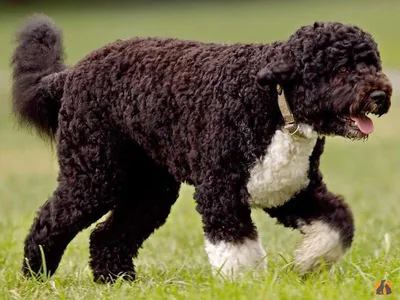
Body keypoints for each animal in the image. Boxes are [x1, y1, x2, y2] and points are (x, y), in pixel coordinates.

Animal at [10, 13, 392, 282]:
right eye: (341, 69)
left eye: (372, 62)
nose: (380, 94)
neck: (273, 103)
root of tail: (70, 75)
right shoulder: (219, 192)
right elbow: (237, 249)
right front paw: (245, 286)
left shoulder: (291, 190)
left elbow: (337, 224)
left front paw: (308, 261)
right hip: (94, 176)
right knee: (49, 221)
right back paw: (35, 275)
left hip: (150, 189)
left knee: (108, 236)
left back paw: (118, 282)